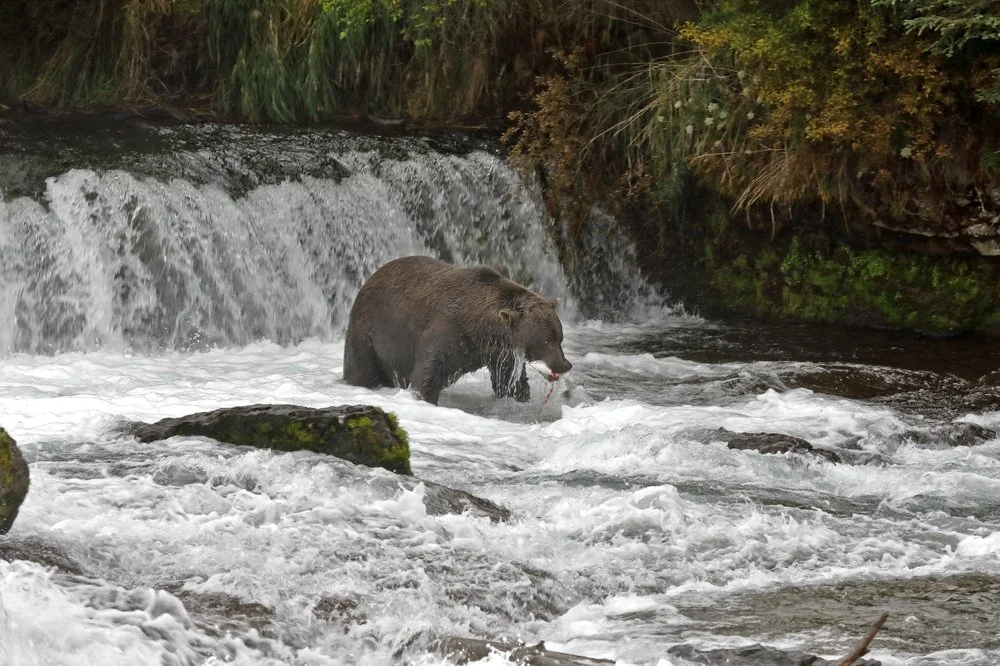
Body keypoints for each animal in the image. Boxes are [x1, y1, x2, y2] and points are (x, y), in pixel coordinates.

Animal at [343, 256, 572, 405]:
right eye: (545, 340)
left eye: (560, 337)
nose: (564, 364)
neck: (482, 328)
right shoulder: (447, 330)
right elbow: (427, 374)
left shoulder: (500, 352)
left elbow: (508, 381)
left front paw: (519, 396)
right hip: (369, 331)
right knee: (362, 368)